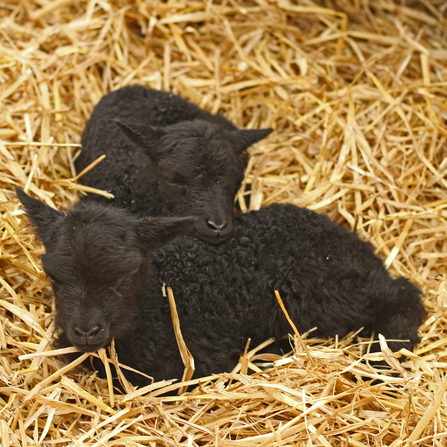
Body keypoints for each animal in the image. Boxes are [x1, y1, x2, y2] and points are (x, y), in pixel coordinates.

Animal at [15, 189, 426, 388]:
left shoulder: (199, 360)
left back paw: (383, 356)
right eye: (54, 277)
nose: (86, 331)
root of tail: (356, 246)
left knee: (402, 297)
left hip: (324, 294)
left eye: (125, 276)